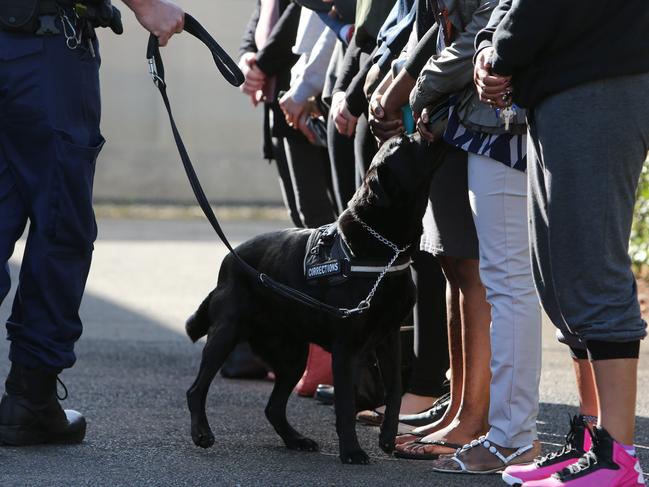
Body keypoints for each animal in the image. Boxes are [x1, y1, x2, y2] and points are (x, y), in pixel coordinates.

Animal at [185, 134, 442, 466]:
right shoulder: (346, 348)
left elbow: (395, 390)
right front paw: (352, 451)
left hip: (293, 356)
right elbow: (345, 403)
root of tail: (230, 259)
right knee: (196, 389)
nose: (426, 129)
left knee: (273, 407)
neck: (385, 251)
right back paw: (202, 433)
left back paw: (296, 440)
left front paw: (387, 438)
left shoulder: (389, 337)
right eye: (403, 144)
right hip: (226, 335)